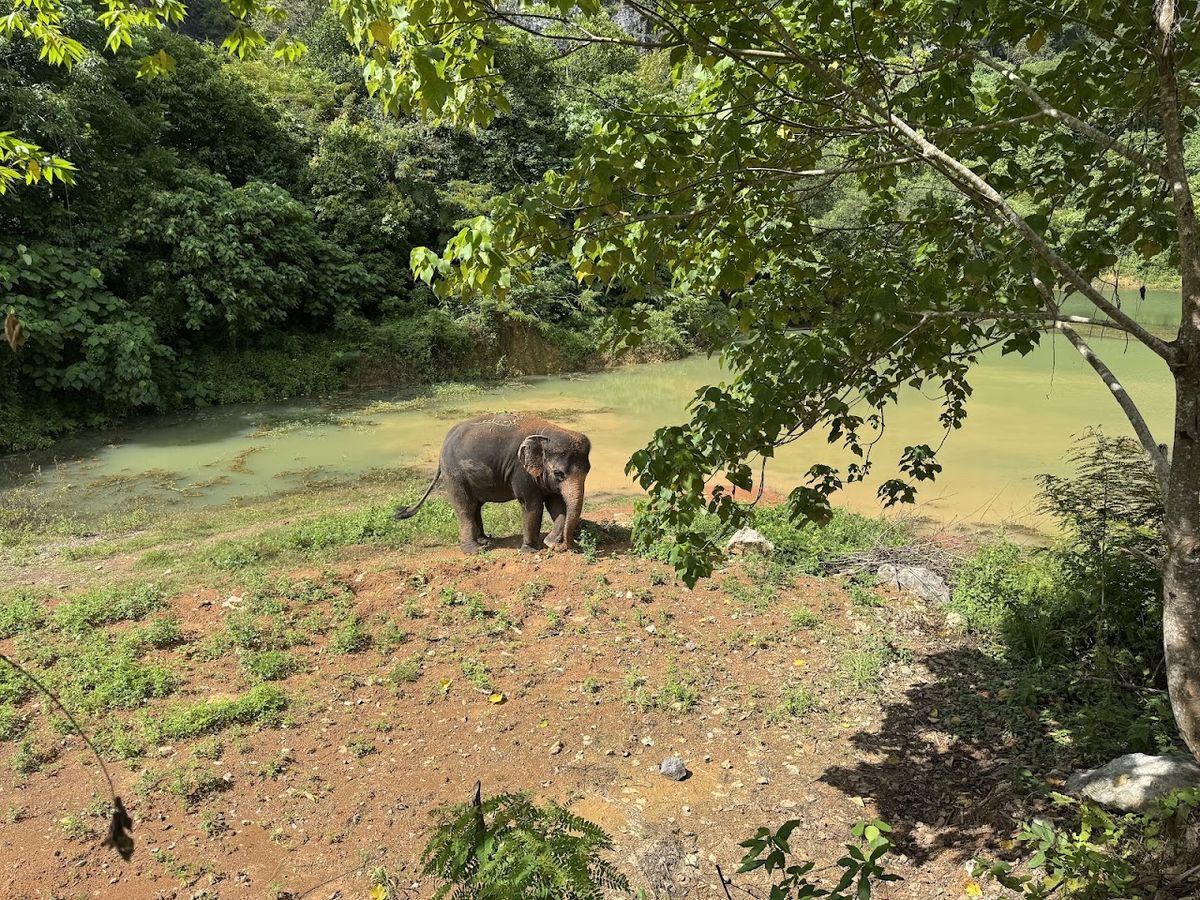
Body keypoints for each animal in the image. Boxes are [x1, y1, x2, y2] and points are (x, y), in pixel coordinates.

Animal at [393, 413, 592, 554]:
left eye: (588, 471)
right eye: (559, 473)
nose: (567, 546)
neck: (547, 432)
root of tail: (444, 442)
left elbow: (556, 504)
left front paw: (550, 543)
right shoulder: (520, 471)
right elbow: (532, 505)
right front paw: (530, 550)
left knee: (475, 506)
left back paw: (485, 540)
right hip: (454, 474)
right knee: (465, 507)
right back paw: (474, 550)